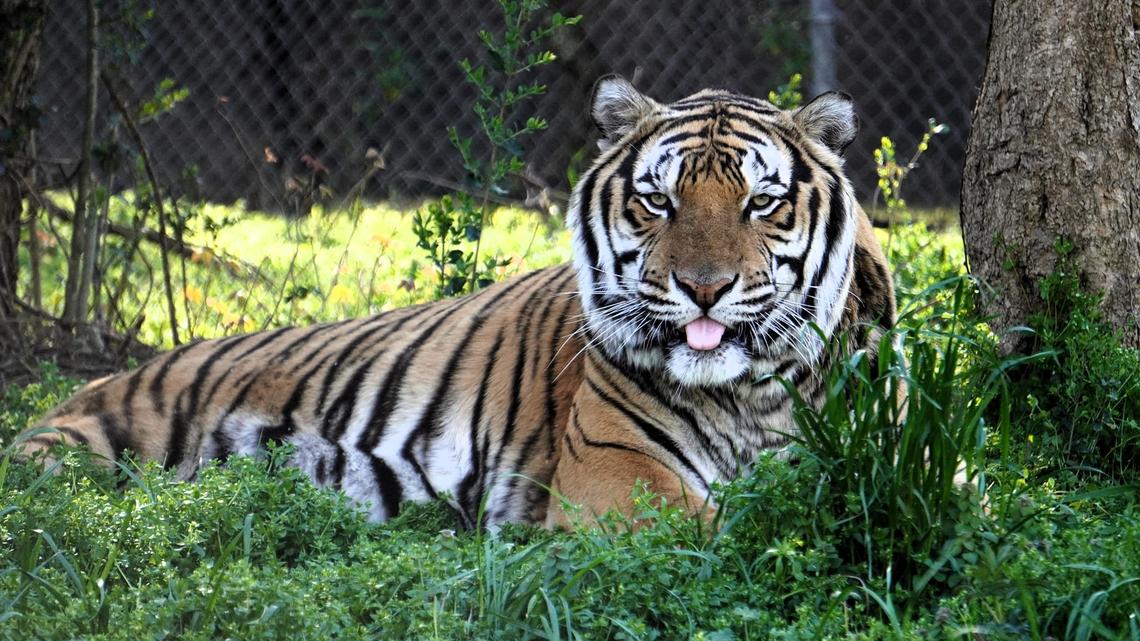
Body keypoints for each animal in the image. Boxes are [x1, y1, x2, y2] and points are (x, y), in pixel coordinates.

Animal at [19, 75, 896, 529]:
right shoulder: (617, 474)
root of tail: (90, 383)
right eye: (659, 201)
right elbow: (723, 531)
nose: (704, 288)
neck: (749, 395)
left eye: (760, 202)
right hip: (77, 456)